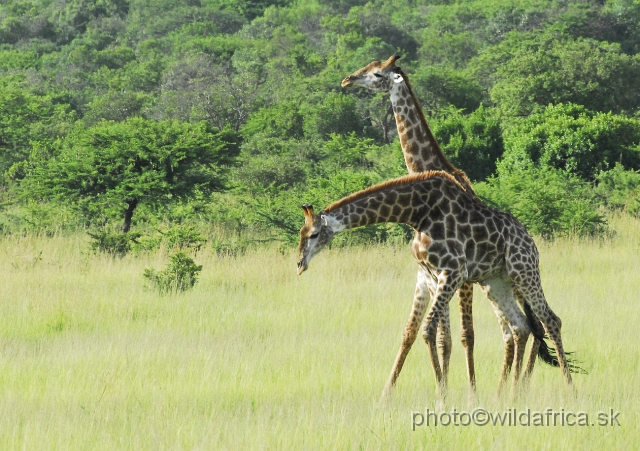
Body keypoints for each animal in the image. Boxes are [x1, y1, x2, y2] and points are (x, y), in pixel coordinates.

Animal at [296, 171, 576, 398]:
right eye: (301, 233)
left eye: (314, 234)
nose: (299, 264)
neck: (417, 213)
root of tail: (530, 241)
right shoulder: (431, 274)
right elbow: (433, 333)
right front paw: (440, 395)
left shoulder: (453, 271)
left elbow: (428, 329)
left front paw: (441, 399)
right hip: (496, 282)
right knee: (521, 326)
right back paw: (509, 397)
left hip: (524, 271)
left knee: (551, 320)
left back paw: (570, 390)